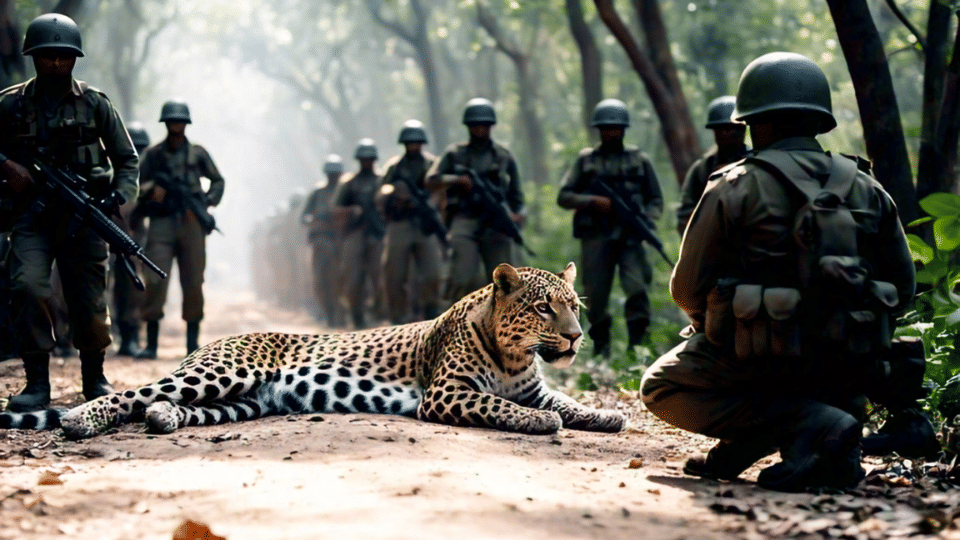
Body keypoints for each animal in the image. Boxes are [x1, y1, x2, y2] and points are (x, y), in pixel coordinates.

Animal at [0, 263, 626, 439]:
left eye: (575, 305)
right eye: (544, 309)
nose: (576, 336)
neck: (518, 356)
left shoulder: (537, 384)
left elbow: (568, 402)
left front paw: (609, 415)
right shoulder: (446, 395)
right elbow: (505, 406)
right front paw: (542, 423)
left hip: (246, 400)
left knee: (159, 404)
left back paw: (163, 420)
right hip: (222, 372)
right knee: (132, 392)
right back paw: (81, 420)